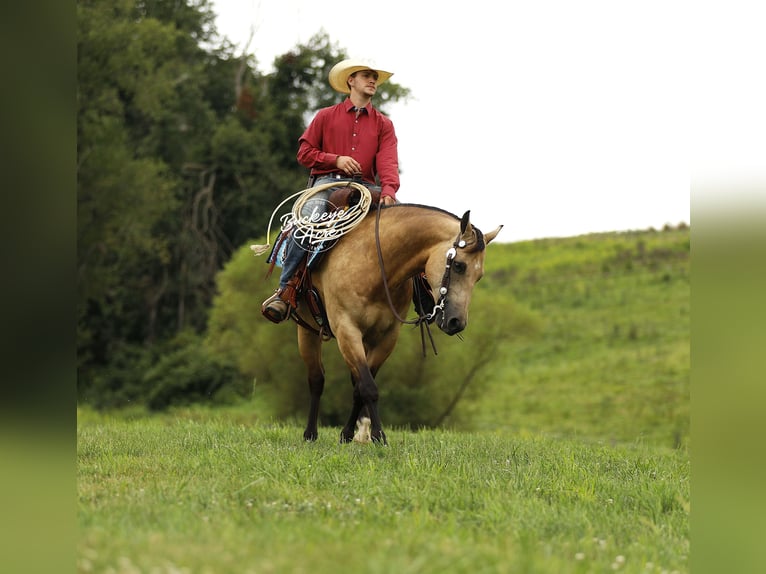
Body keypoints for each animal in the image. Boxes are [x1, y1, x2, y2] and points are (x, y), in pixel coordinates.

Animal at [285, 202, 502, 445]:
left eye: (479, 276)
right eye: (458, 265)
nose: (457, 322)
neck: (373, 267)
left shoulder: (386, 338)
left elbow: (361, 387)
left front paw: (348, 434)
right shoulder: (346, 330)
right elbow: (368, 387)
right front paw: (379, 436)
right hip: (307, 331)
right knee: (316, 379)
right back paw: (310, 434)